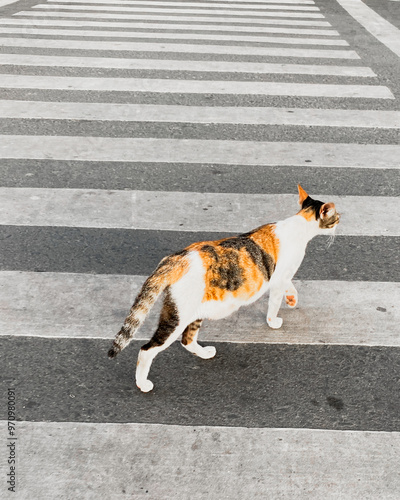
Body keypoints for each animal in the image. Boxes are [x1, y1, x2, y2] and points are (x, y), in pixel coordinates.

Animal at [108, 186, 340, 392]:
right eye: (336, 216)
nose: (340, 220)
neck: (300, 224)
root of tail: (175, 260)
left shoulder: (280, 276)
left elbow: (289, 285)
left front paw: (292, 298)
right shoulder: (280, 277)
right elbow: (274, 303)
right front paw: (274, 321)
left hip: (194, 311)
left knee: (187, 340)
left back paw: (204, 353)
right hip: (177, 317)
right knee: (147, 350)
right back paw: (142, 383)